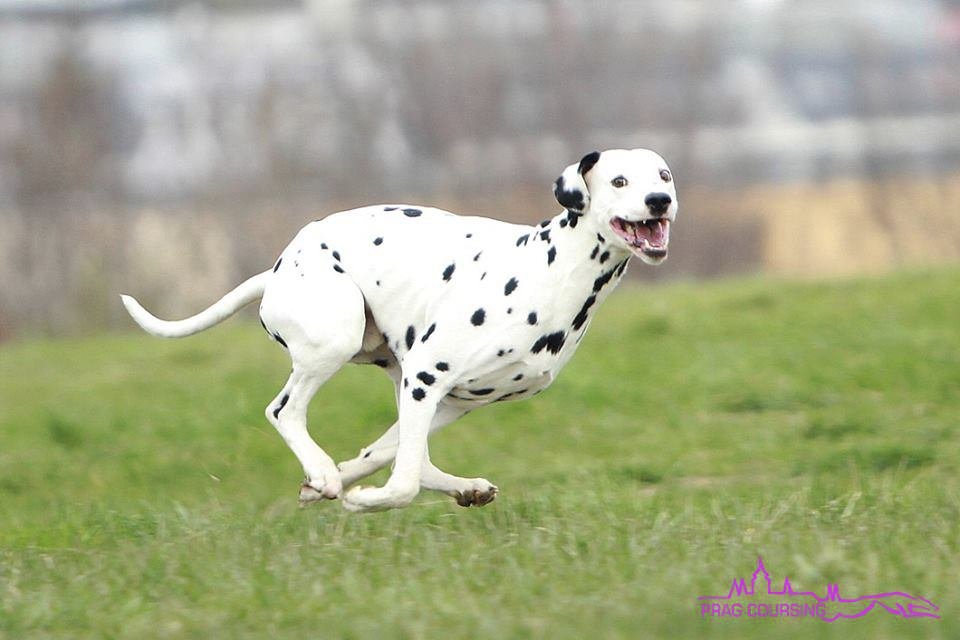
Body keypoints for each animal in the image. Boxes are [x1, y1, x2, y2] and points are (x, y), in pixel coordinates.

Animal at [122, 148, 676, 512]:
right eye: (619, 182)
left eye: (664, 176)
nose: (658, 200)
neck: (555, 270)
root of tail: (277, 268)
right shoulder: (430, 376)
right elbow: (402, 482)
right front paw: (361, 500)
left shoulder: (451, 397)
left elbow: (392, 455)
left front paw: (349, 485)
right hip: (341, 343)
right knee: (284, 411)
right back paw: (325, 472)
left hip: (404, 378)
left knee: (399, 450)